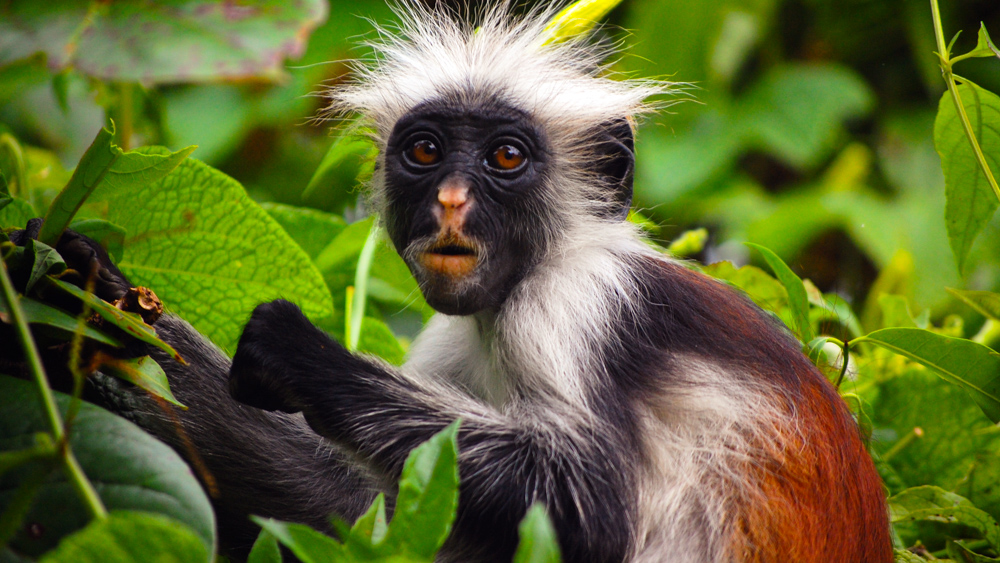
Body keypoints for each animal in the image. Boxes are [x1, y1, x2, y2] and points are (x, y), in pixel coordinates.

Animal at [48, 2, 892, 560]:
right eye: (425, 150)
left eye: (506, 157)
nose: (451, 199)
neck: (530, 272)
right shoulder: (456, 331)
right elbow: (361, 511)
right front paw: (87, 298)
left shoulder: (577, 301)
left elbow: (592, 506)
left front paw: (298, 353)